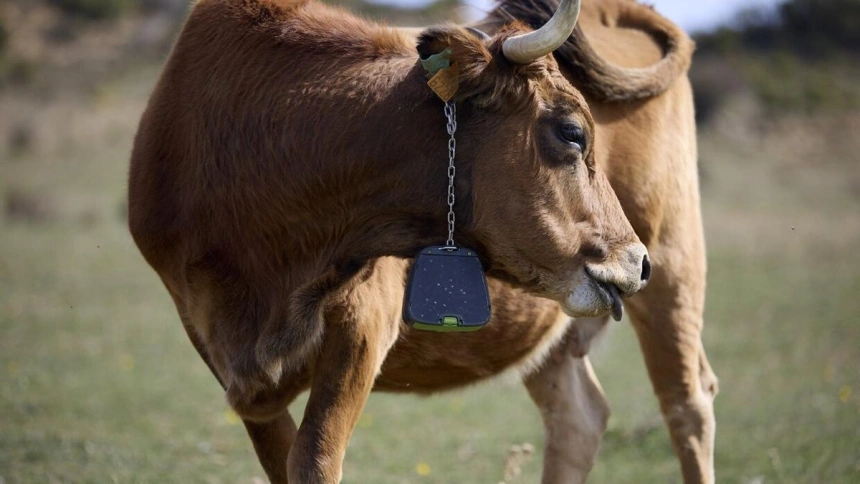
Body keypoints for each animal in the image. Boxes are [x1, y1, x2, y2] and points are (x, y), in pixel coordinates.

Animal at [128, 0, 653, 482]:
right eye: (572, 132)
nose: (637, 261)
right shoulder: (209, 335)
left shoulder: (362, 324)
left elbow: (313, 458)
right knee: (577, 419)